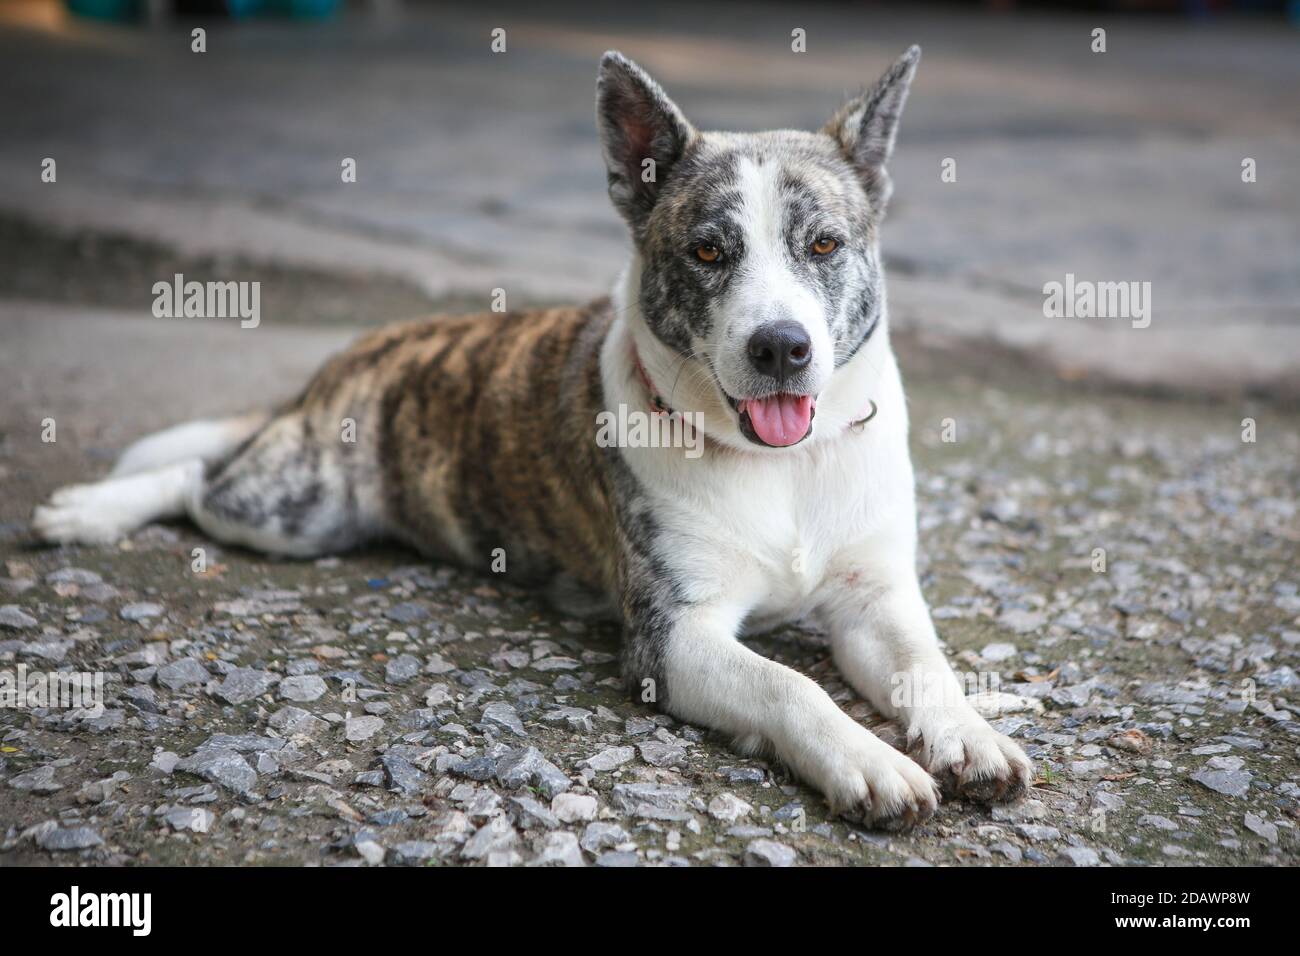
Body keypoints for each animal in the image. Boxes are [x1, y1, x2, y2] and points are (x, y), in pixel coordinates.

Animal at [35, 46, 1029, 832]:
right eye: (709, 252)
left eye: (823, 245)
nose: (781, 347)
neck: (779, 467)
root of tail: (348, 358)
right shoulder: (673, 640)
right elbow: (793, 685)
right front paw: (870, 760)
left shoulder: (874, 598)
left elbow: (928, 665)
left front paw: (969, 735)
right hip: (296, 509)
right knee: (195, 478)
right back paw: (87, 511)